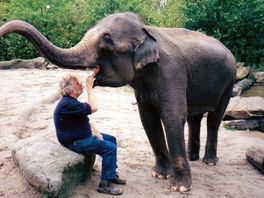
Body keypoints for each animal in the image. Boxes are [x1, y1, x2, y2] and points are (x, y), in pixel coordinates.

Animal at [0, 12, 235, 192]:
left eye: (107, 40)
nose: (2, 30)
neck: (147, 30)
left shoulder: (171, 73)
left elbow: (172, 118)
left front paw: (180, 188)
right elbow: (148, 120)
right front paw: (159, 175)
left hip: (228, 82)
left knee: (214, 119)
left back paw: (209, 161)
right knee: (196, 117)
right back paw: (193, 158)